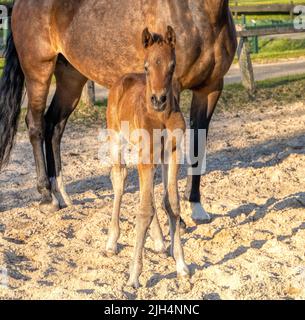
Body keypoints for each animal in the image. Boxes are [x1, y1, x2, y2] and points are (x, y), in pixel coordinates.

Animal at [105, 26, 189, 288]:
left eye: (172, 65)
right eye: (146, 66)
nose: (159, 99)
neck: (160, 116)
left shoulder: (172, 153)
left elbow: (171, 204)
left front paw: (181, 265)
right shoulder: (146, 155)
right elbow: (143, 210)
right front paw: (133, 275)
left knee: (150, 195)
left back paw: (160, 240)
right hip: (116, 139)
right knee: (119, 179)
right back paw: (111, 241)